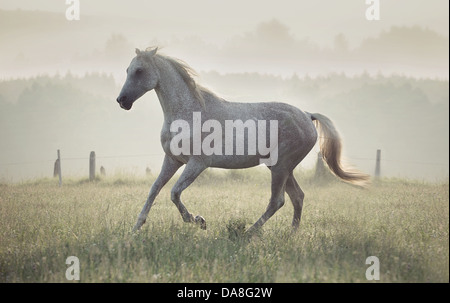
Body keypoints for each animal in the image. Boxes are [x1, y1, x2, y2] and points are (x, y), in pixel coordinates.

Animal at [116, 47, 370, 234]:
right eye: (128, 69)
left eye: (139, 70)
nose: (122, 100)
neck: (189, 112)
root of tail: (308, 116)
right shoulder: (172, 160)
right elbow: (155, 189)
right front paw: (135, 228)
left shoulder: (197, 164)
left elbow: (174, 193)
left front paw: (199, 221)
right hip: (281, 167)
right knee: (297, 197)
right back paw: (291, 234)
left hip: (281, 167)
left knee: (277, 201)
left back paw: (248, 234)